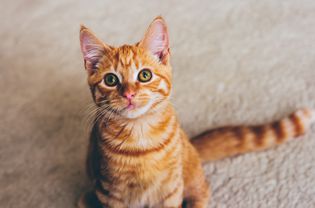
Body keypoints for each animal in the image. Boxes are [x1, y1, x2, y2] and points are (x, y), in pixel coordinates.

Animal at [78, 16, 314, 208]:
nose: (128, 94)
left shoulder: (170, 190)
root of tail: (191, 146)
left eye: (144, 75)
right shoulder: (110, 192)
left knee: (203, 192)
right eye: (111, 80)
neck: (140, 135)